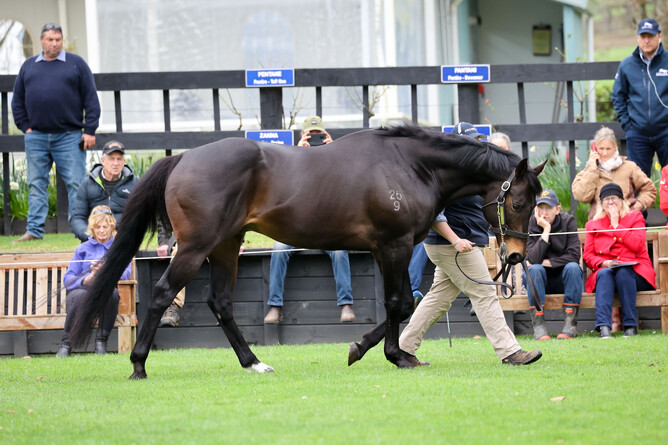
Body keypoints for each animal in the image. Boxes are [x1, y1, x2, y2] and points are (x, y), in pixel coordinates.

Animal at [68, 125, 545, 379]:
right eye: (520, 202)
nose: (516, 256)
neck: (410, 166)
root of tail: (183, 159)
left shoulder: (382, 249)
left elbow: (403, 304)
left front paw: (366, 348)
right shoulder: (393, 245)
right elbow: (400, 302)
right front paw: (392, 355)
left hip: (226, 245)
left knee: (220, 302)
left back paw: (254, 363)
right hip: (196, 247)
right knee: (164, 293)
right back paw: (138, 365)